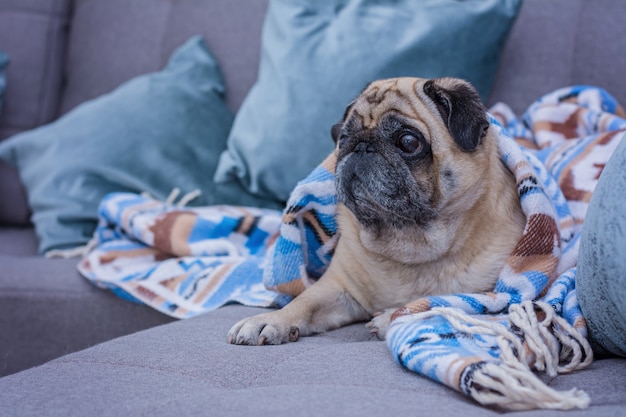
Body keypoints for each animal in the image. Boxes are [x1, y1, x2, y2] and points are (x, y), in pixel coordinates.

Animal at [227, 78, 524, 344]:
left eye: (408, 141)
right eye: (343, 138)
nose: (362, 146)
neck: (410, 244)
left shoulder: (504, 296)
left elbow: (450, 301)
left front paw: (393, 315)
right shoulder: (338, 288)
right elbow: (303, 302)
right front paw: (270, 320)